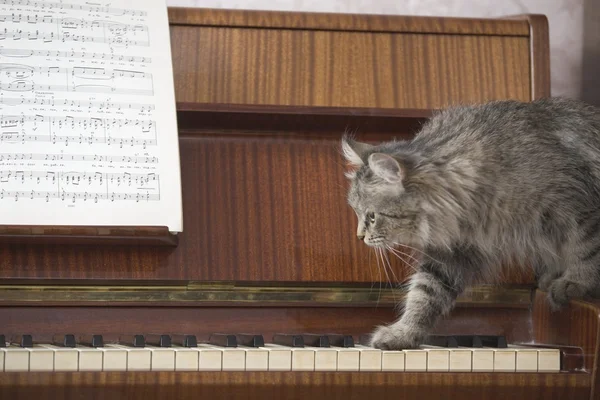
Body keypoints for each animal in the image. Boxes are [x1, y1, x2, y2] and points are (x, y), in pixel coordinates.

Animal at [342, 97, 600, 350]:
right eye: (356, 212)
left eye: (372, 216)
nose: (359, 237)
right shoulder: (453, 251)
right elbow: (425, 293)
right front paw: (404, 333)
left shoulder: (580, 209)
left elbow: (587, 250)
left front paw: (576, 281)